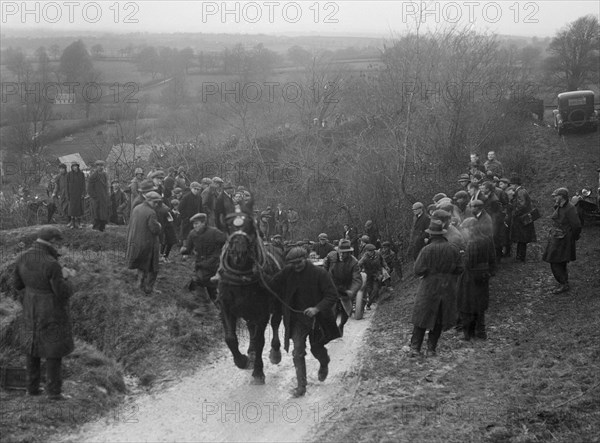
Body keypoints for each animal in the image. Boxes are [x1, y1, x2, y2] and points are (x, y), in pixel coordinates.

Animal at [217, 203, 284, 384]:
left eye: (250, 226)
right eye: (228, 226)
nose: (239, 253)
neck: (242, 278)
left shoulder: (262, 312)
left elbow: (261, 339)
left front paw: (258, 371)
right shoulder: (226, 307)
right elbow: (230, 338)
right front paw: (241, 360)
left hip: (277, 305)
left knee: (275, 323)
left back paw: (275, 352)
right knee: (251, 328)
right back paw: (251, 352)